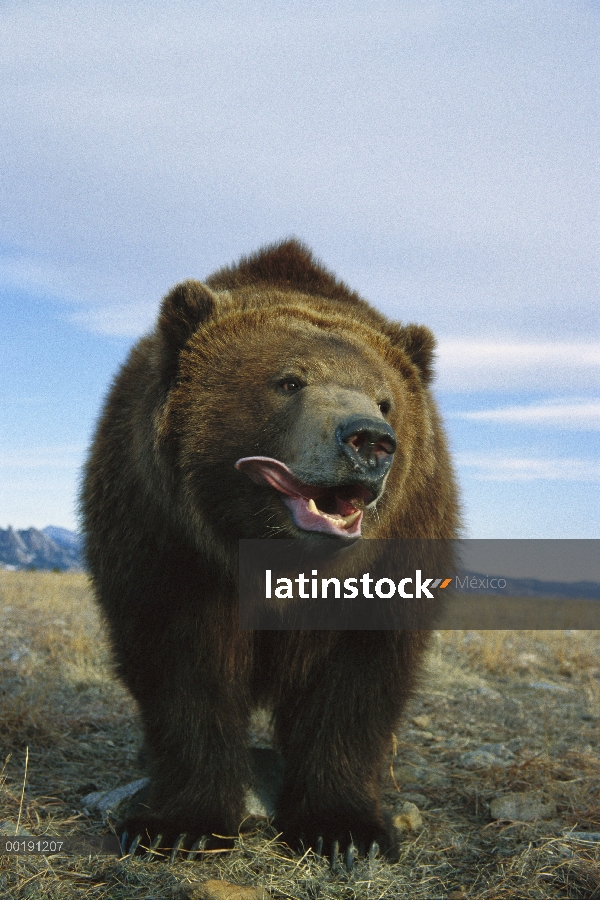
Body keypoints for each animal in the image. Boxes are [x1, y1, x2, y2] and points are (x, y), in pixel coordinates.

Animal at [82, 237, 460, 856]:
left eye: (385, 400)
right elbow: (185, 670)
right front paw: (181, 824)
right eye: (289, 381)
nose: (369, 441)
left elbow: (354, 682)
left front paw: (344, 830)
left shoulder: (395, 553)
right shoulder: (167, 545)